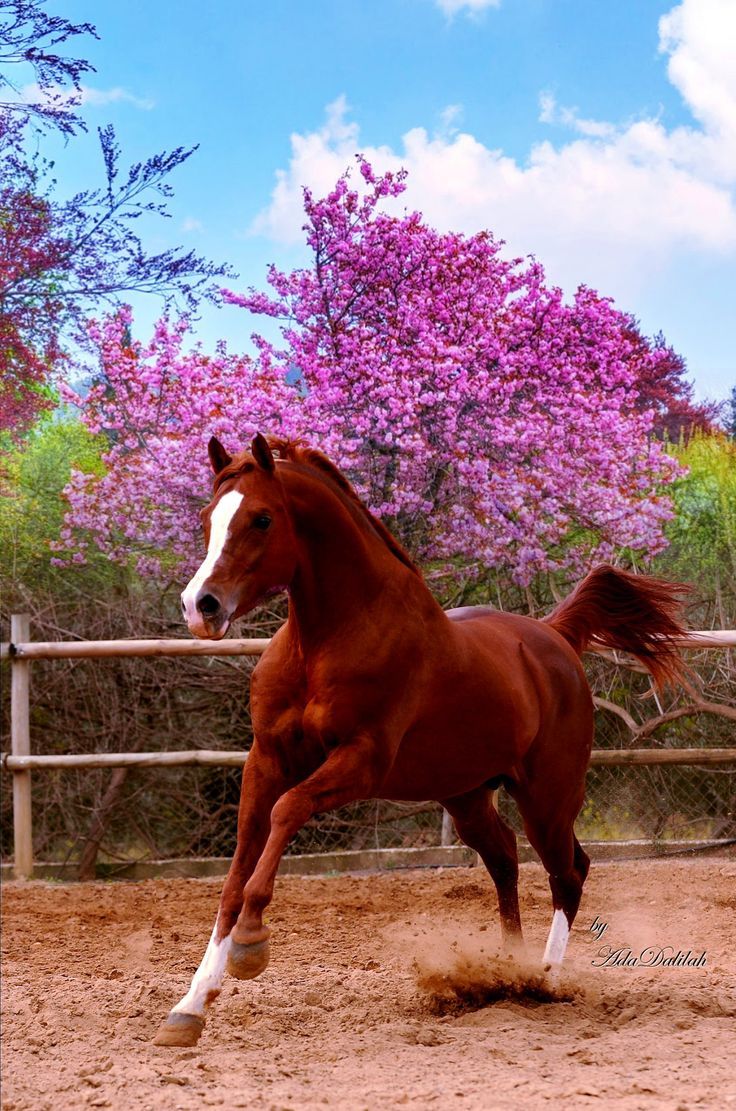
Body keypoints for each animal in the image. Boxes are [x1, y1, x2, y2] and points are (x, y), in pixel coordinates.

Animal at [154, 434, 688, 1047]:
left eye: (262, 518)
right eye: (207, 518)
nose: (201, 606)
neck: (325, 641)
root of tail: (554, 636)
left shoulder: (360, 761)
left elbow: (287, 813)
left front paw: (251, 944)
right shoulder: (265, 761)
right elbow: (237, 871)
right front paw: (189, 1008)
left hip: (548, 799)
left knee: (569, 871)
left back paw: (543, 981)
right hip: (467, 796)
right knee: (506, 860)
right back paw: (508, 975)